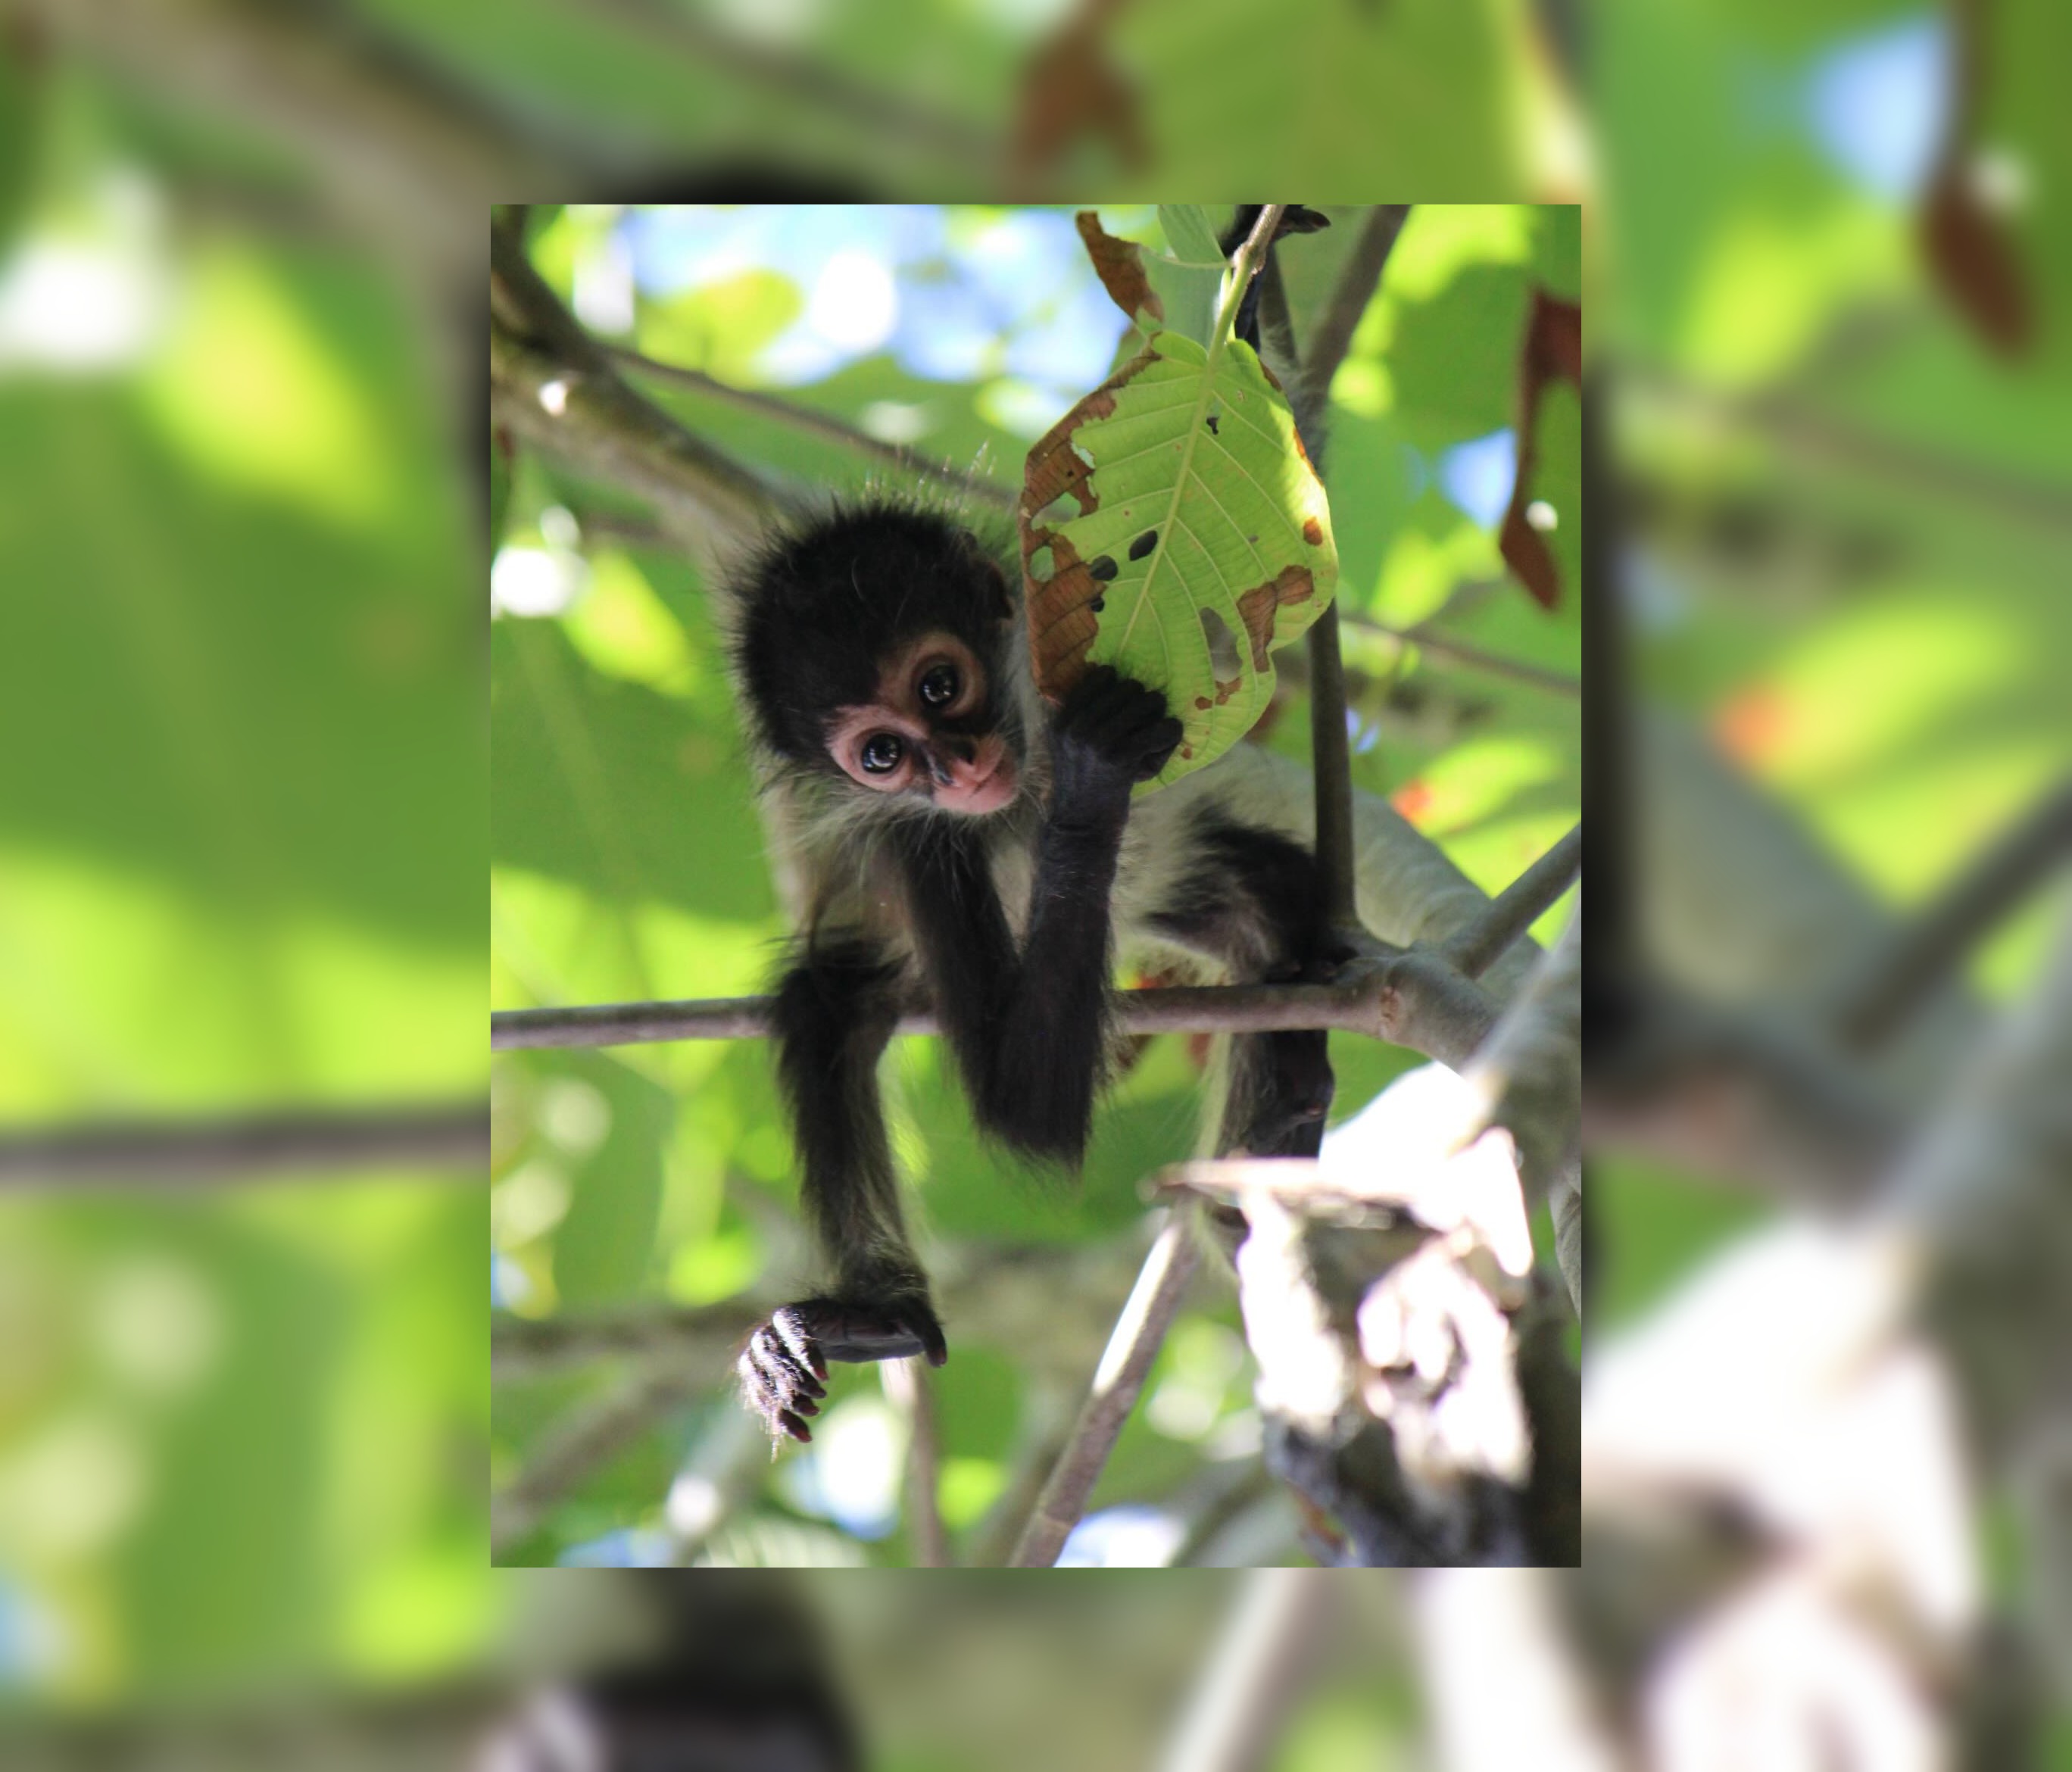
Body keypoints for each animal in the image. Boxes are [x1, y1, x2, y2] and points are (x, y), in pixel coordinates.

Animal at [728, 499, 1345, 1442]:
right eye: (882, 757)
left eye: (939, 687)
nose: (958, 768)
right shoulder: (917, 845)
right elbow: (1024, 1111)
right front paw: (1092, 788)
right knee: (823, 1008)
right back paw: (882, 1317)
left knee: (1261, 904)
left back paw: (1278, 1131)